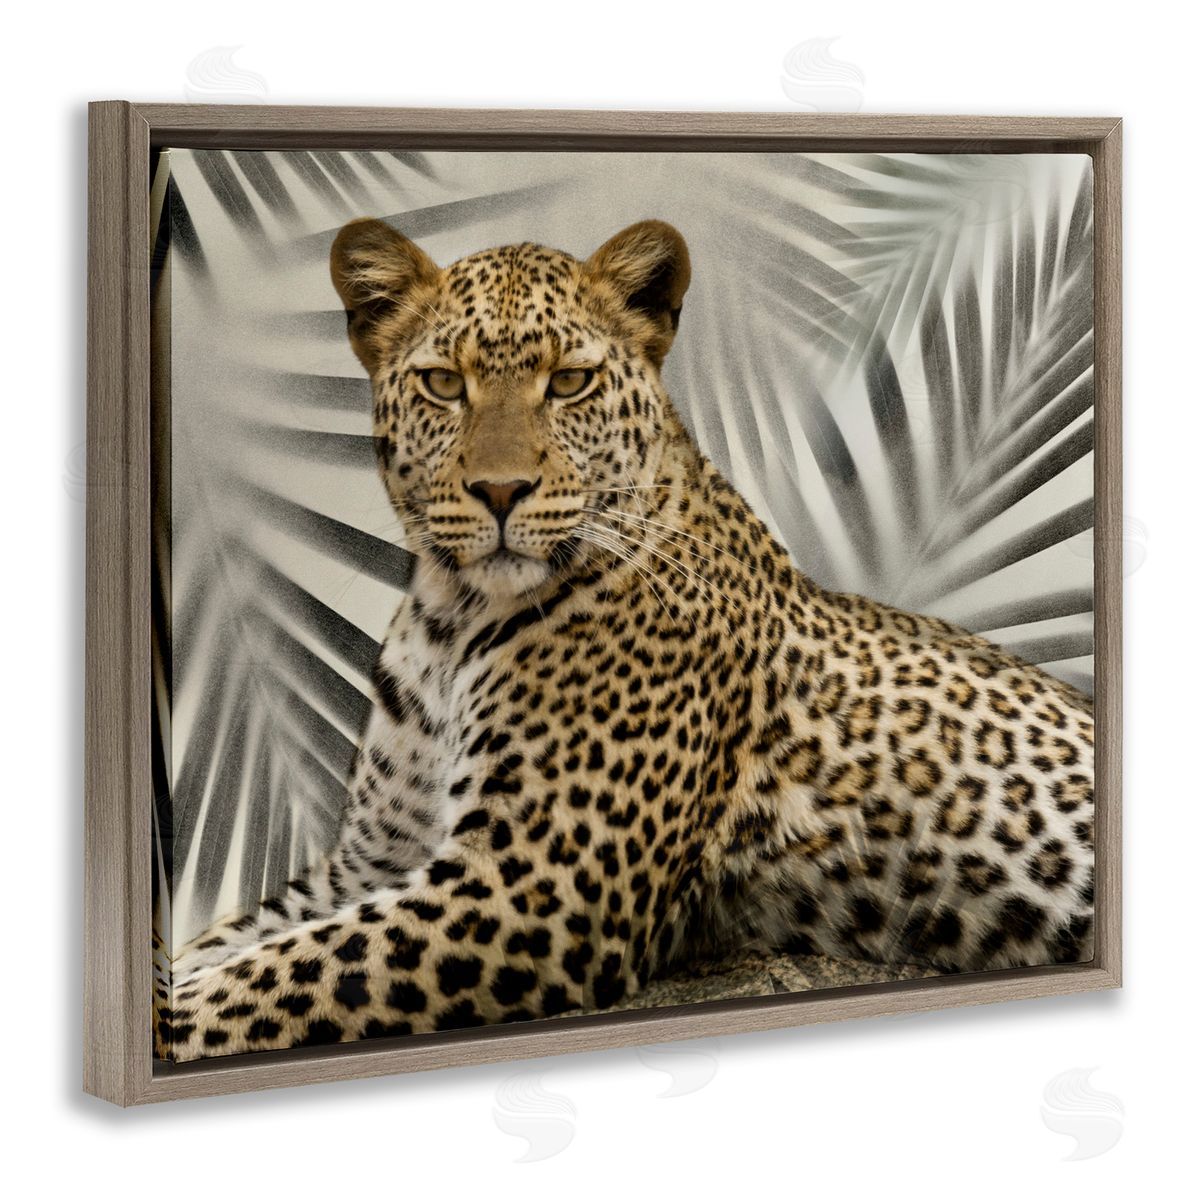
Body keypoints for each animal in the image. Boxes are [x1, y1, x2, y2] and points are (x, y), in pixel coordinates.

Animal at [156, 217, 1095, 1061]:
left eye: (570, 382)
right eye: (444, 384)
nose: (501, 490)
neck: (450, 619)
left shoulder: (533, 885)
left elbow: (262, 982)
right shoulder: (371, 862)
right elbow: (229, 947)